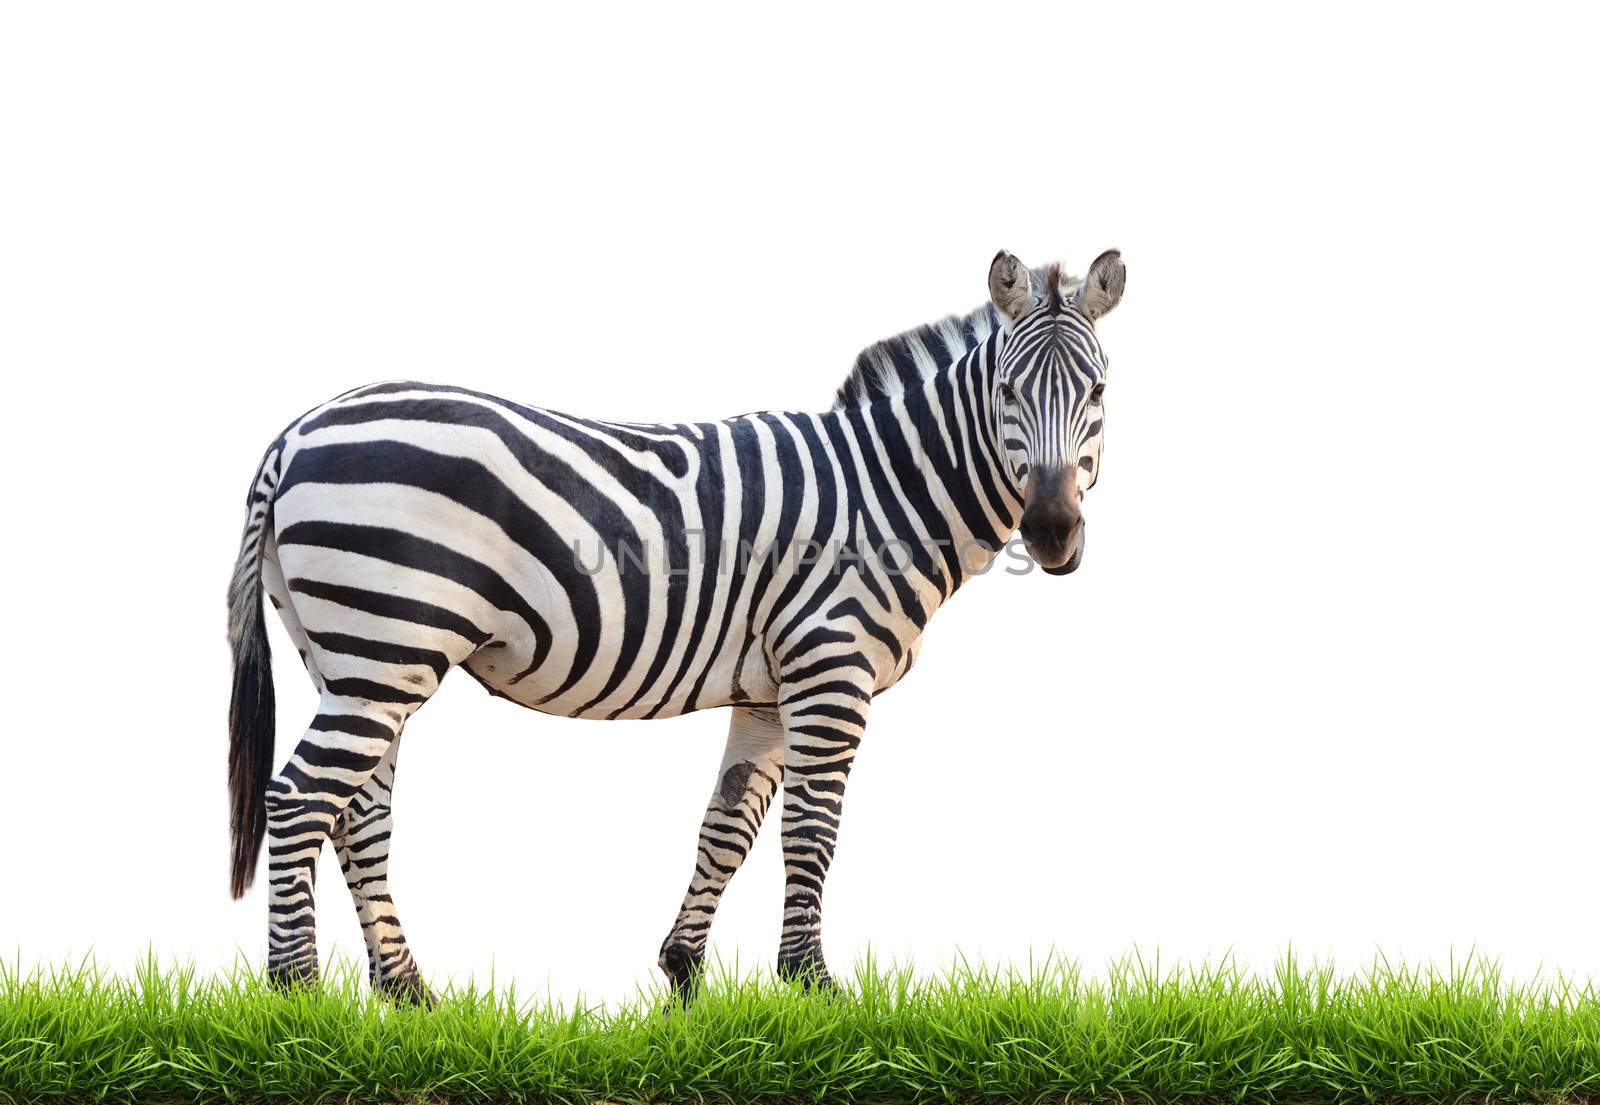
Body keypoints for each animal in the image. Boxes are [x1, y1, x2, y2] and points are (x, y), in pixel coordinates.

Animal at [222, 247, 1126, 1004]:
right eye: (1008, 393)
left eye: (1098, 392)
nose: (1052, 532)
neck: (885, 490)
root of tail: (294, 435)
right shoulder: (831, 668)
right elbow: (811, 831)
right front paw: (815, 988)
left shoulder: (769, 689)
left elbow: (727, 828)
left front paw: (685, 974)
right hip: (385, 646)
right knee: (298, 800)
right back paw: (297, 995)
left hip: (356, 659)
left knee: (358, 814)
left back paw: (408, 994)